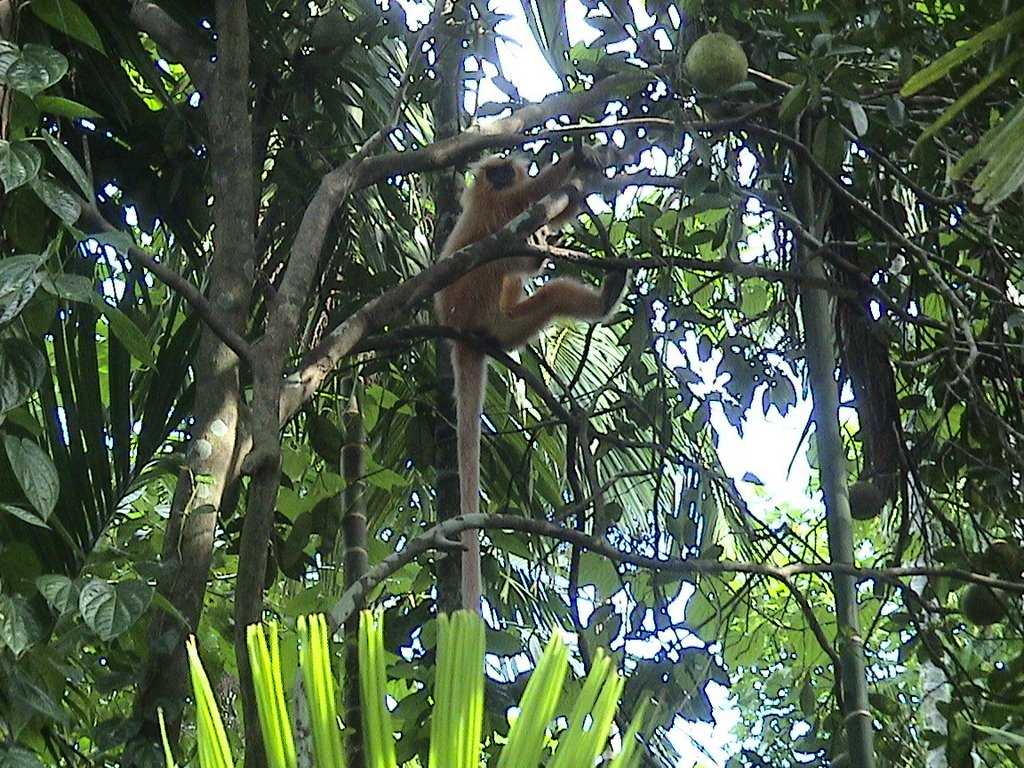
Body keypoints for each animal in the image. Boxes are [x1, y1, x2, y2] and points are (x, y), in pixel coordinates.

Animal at [432, 151, 622, 614]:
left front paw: (582, 178)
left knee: (550, 296)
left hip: (508, 326)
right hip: (478, 300)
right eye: (496, 170)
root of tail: (461, 337)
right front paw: (573, 160)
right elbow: (532, 196)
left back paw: (603, 297)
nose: (501, 175)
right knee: (499, 258)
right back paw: (534, 259)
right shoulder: (497, 205)